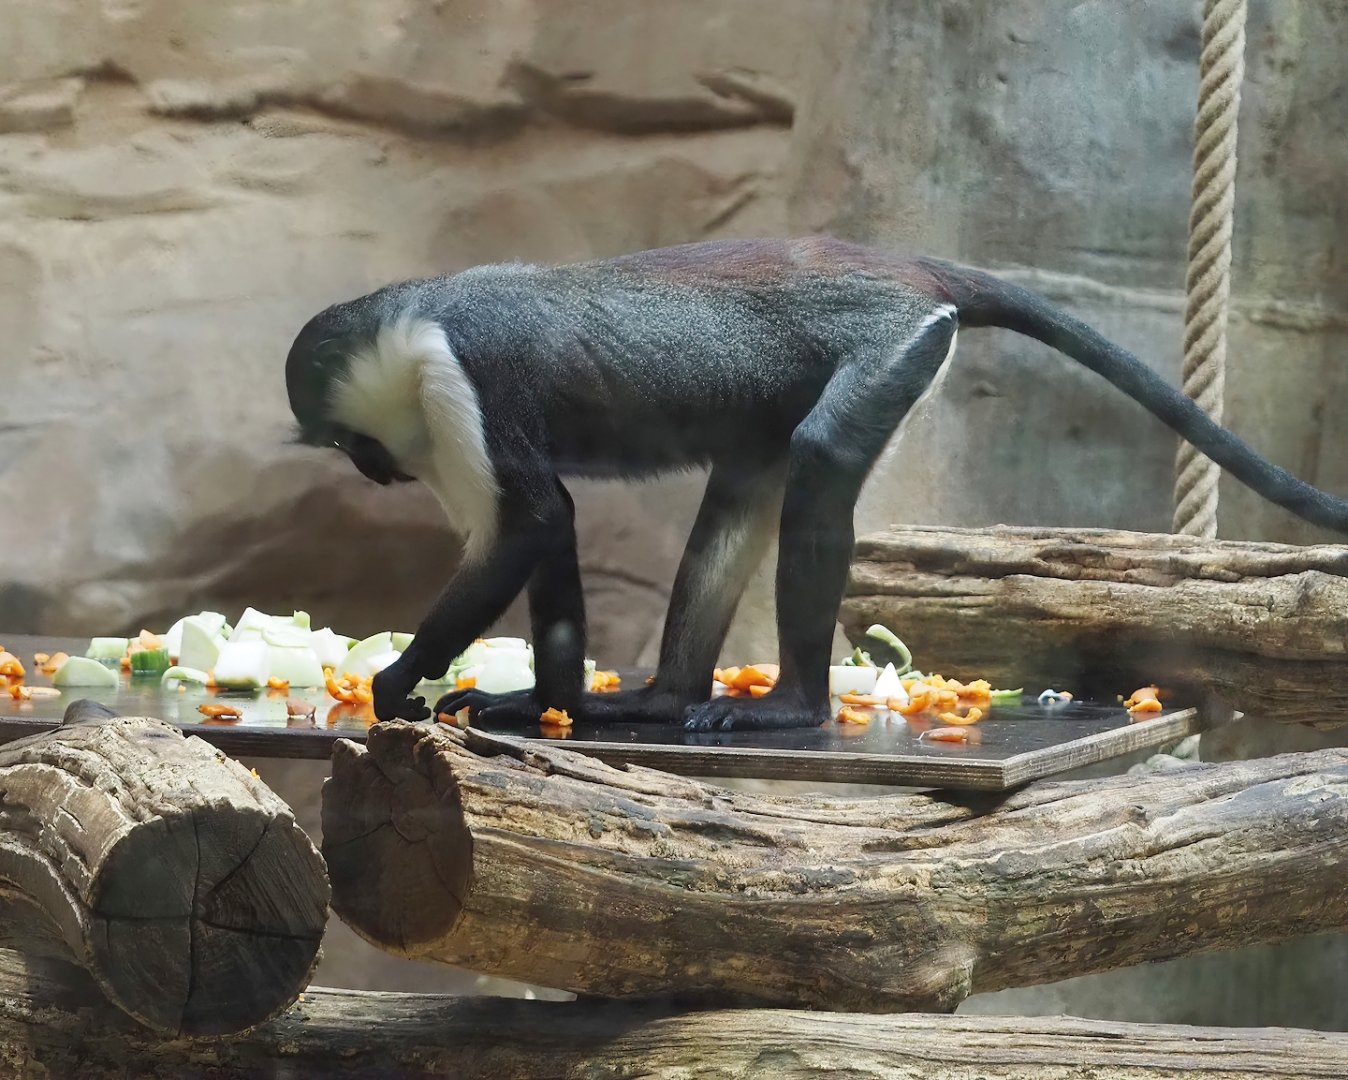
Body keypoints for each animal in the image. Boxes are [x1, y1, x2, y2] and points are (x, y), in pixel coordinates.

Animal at [285, 237, 1348, 732]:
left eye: (343, 440)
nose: (373, 466)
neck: (419, 313)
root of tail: (906, 266)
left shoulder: (461, 377)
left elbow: (534, 521)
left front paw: (399, 681)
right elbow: (546, 527)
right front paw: (547, 701)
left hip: (895, 346)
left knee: (827, 454)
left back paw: (792, 704)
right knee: (743, 483)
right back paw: (664, 699)